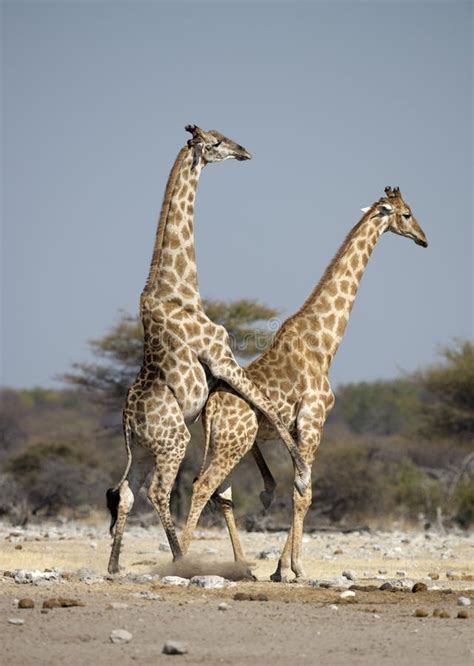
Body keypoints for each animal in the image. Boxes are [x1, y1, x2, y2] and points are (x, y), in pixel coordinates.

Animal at [105, 127, 310, 572]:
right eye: (215, 142)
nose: (244, 151)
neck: (180, 289)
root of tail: (128, 423)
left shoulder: (217, 374)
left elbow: (257, 409)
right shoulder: (221, 356)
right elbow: (266, 405)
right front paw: (299, 472)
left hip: (142, 449)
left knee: (126, 490)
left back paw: (113, 566)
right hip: (173, 441)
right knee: (157, 492)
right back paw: (181, 560)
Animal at [180, 185, 428, 576]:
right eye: (407, 214)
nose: (423, 238)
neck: (324, 344)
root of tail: (210, 406)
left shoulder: (297, 429)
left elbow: (299, 488)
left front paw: (280, 568)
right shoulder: (314, 421)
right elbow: (304, 492)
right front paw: (295, 567)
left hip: (223, 442)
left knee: (219, 491)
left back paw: (240, 566)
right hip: (234, 442)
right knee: (205, 486)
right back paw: (182, 560)